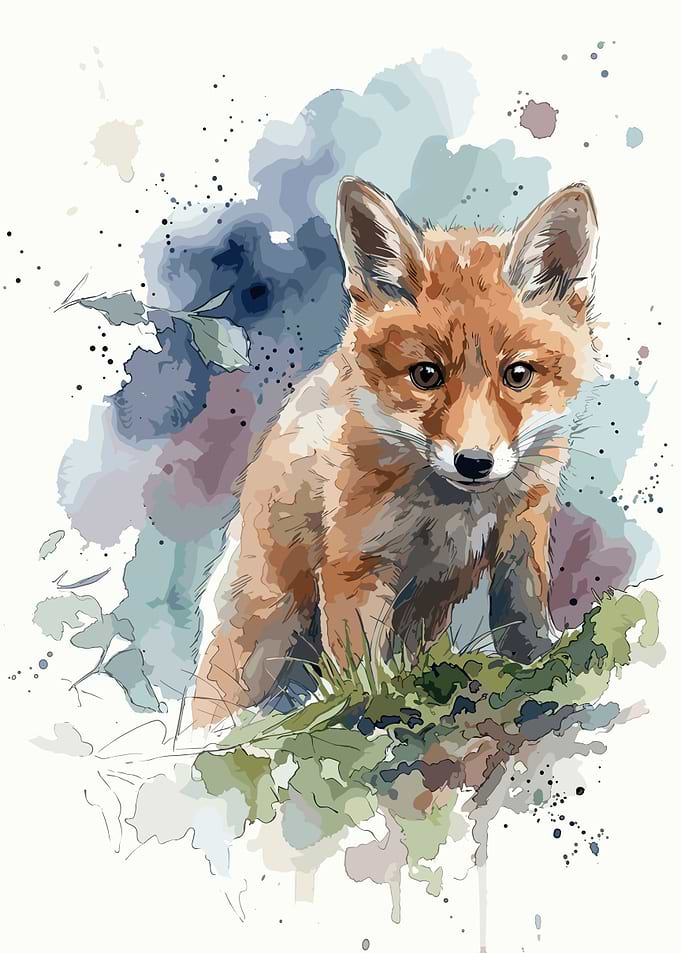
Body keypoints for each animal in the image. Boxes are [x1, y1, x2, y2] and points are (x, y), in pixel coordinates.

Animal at [192, 176, 599, 727]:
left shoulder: (524, 530)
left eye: (518, 375)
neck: (456, 509)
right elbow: (360, 671)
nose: (474, 462)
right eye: (426, 375)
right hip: (263, 631)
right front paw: (370, 711)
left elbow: (524, 613)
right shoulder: (356, 564)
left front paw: (545, 660)